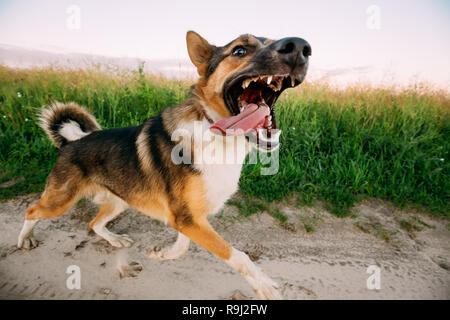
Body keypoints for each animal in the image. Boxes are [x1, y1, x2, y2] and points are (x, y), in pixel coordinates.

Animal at [14, 31, 310, 298]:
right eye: (239, 50)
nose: (299, 47)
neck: (215, 134)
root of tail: (70, 142)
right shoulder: (187, 218)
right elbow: (236, 255)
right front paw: (264, 285)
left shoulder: (187, 217)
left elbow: (182, 246)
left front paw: (162, 254)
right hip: (60, 201)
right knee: (32, 210)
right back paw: (24, 239)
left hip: (122, 199)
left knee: (94, 223)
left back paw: (115, 239)